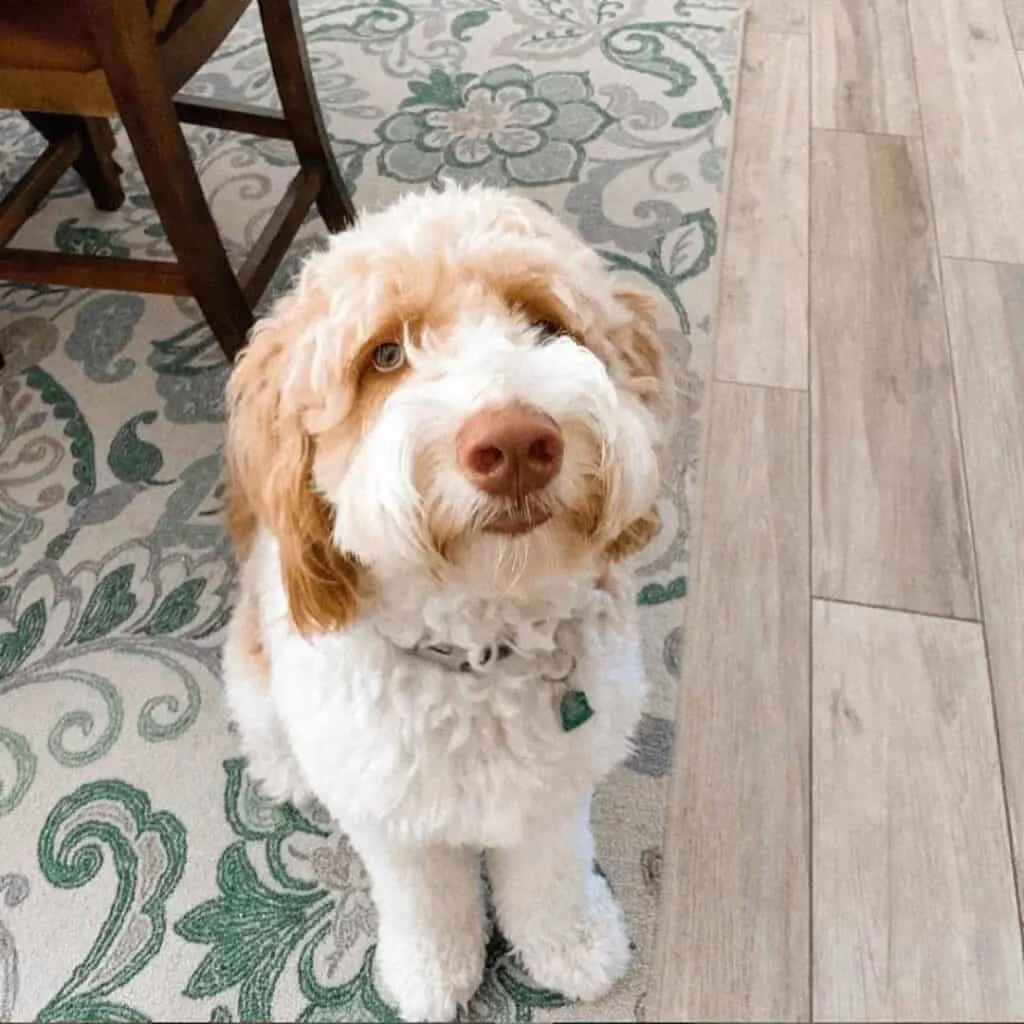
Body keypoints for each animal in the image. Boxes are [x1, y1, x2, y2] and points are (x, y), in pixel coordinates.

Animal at [223, 182, 671, 1015]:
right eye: (385, 355)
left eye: (544, 322)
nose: (519, 444)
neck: (479, 653)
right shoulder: (394, 820)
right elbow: (425, 903)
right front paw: (431, 973)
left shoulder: (552, 796)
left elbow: (551, 878)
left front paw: (574, 946)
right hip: (257, 669)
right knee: (263, 724)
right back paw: (288, 773)